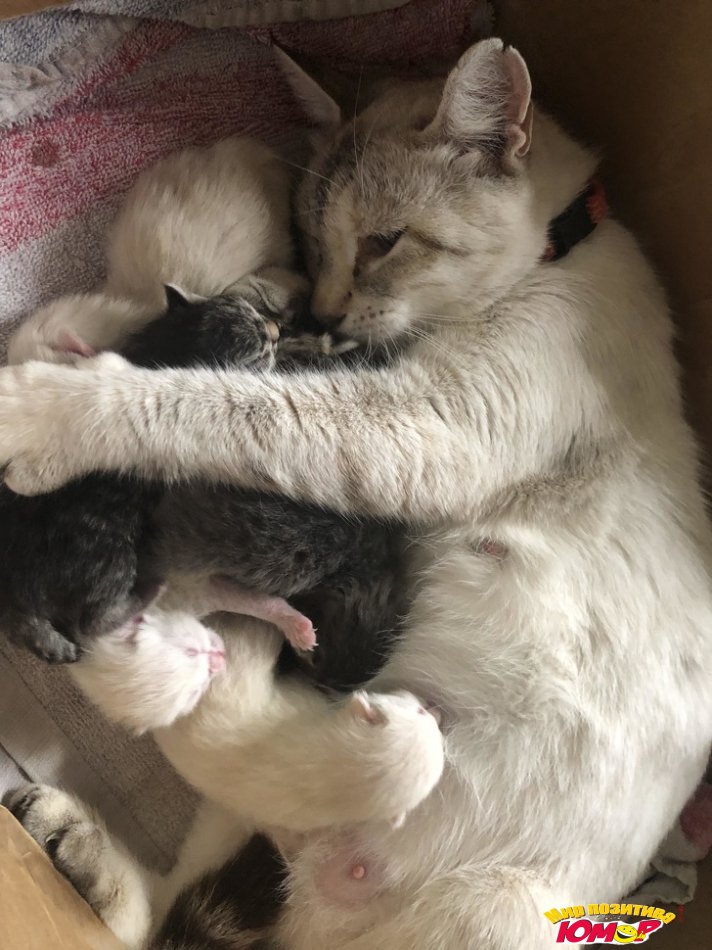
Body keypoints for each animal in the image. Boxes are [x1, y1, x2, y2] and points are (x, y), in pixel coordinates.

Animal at [2, 36, 712, 950]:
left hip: (498, 911)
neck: (563, 252)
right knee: (170, 894)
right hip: (246, 822)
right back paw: (82, 835)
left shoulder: (425, 428)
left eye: (382, 243)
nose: (328, 311)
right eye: (312, 238)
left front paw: (46, 410)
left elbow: (219, 402)